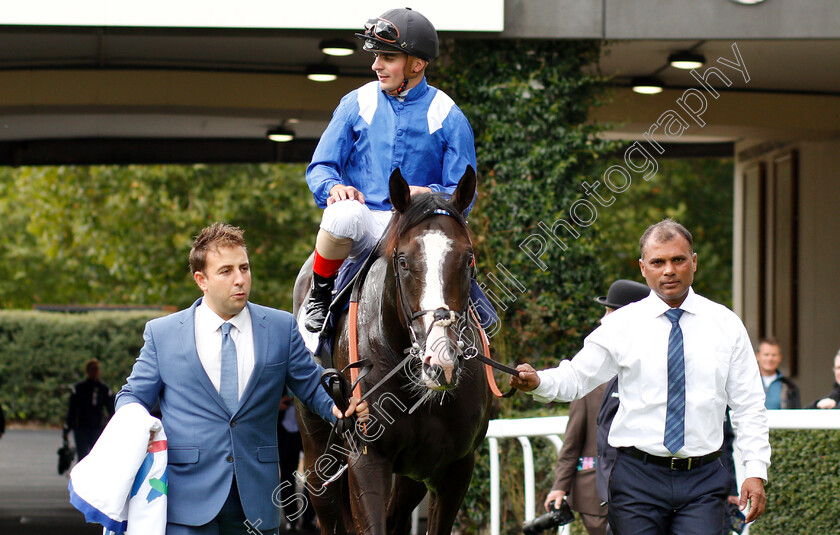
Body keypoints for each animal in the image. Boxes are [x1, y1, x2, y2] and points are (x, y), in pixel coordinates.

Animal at [294, 165, 492, 532]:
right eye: (403, 261)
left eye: (468, 258)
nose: (440, 362)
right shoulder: (366, 460)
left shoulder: (455, 467)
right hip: (316, 459)